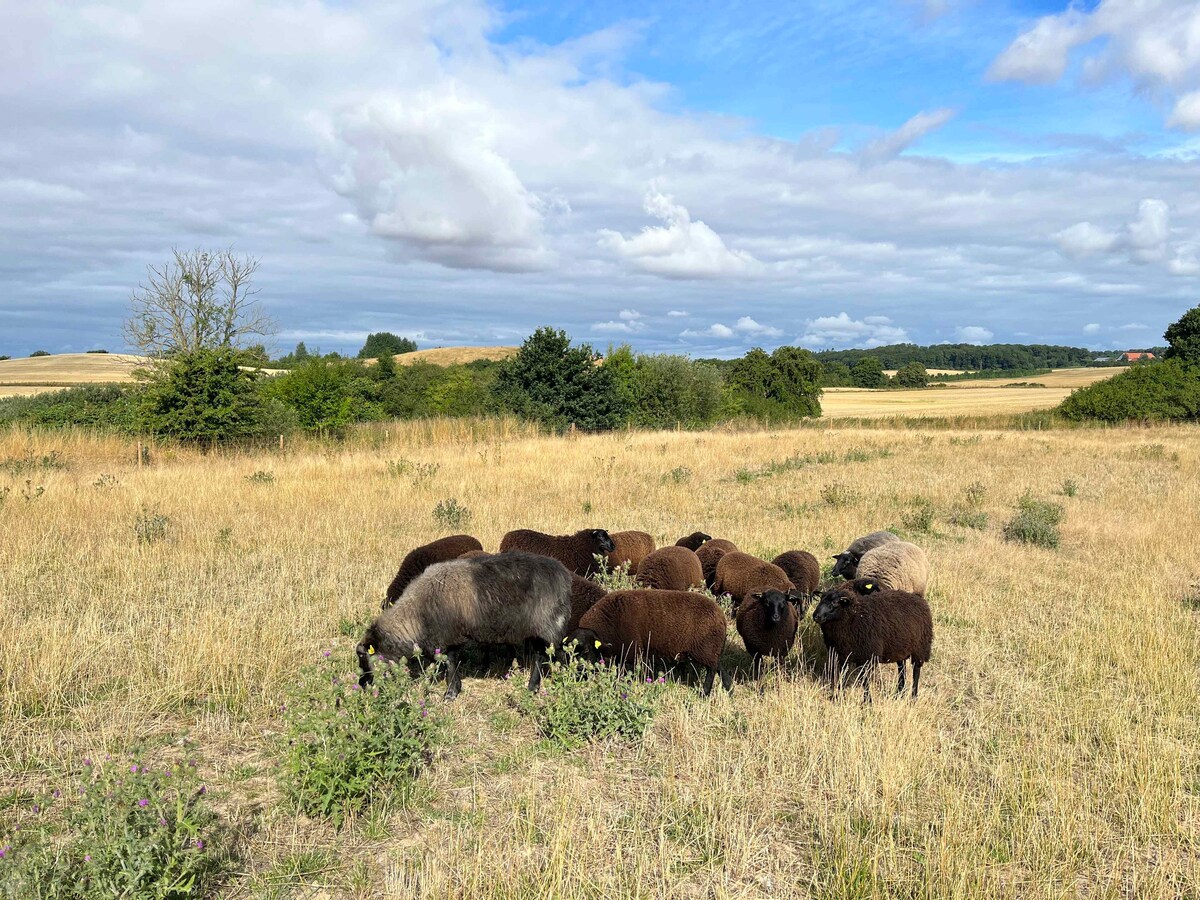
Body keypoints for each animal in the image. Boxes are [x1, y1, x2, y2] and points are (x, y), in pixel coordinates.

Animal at [357, 549, 573, 705]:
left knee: (547, 656)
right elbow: (451, 664)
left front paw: (450, 693)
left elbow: (450, 664)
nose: (362, 687)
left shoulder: (447, 637)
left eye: (364, 659)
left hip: (547, 625)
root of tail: (564, 575)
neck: (416, 614)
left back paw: (543, 686)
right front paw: (455, 688)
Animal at [573, 592, 729, 696]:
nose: (578, 669)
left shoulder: (631, 653)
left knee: (712, 670)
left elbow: (627, 673)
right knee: (720, 668)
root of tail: (721, 616)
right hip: (711, 650)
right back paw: (728, 689)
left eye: (586, 651)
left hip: (706, 650)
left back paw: (705, 693)